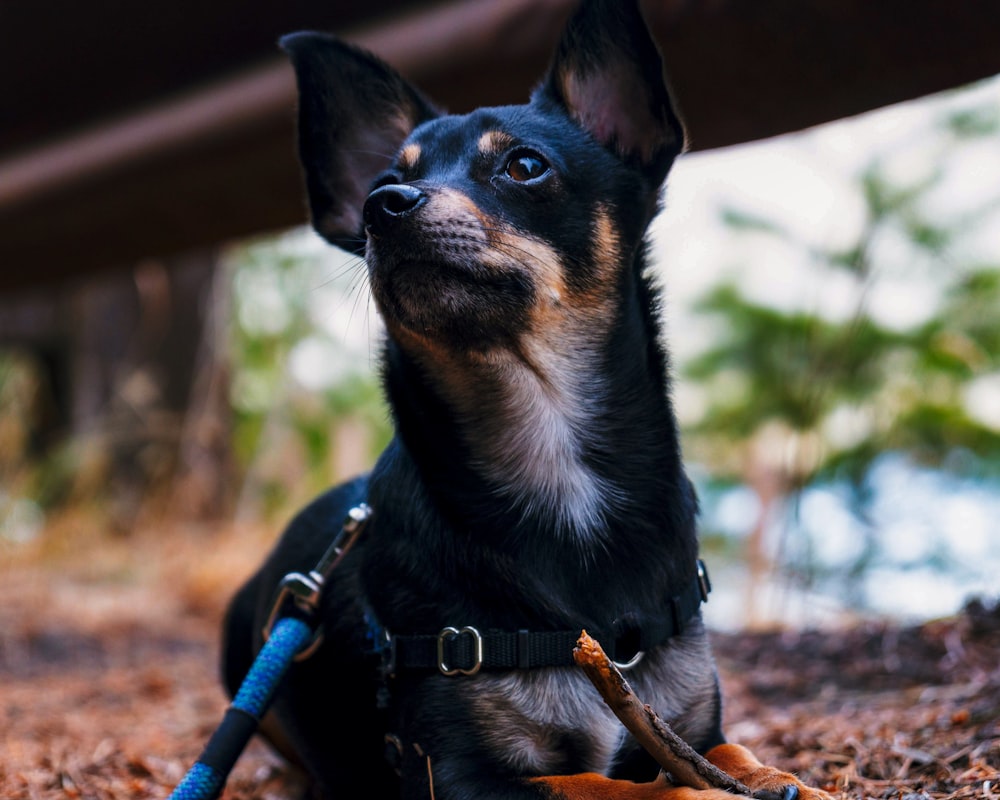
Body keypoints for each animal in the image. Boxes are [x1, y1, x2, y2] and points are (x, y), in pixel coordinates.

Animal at [225, 1, 836, 800]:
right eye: (386, 179)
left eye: (524, 165)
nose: (383, 205)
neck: (554, 457)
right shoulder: (461, 774)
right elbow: (611, 786)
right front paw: (682, 789)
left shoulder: (693, 727)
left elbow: (729, 753)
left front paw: (782, 778)